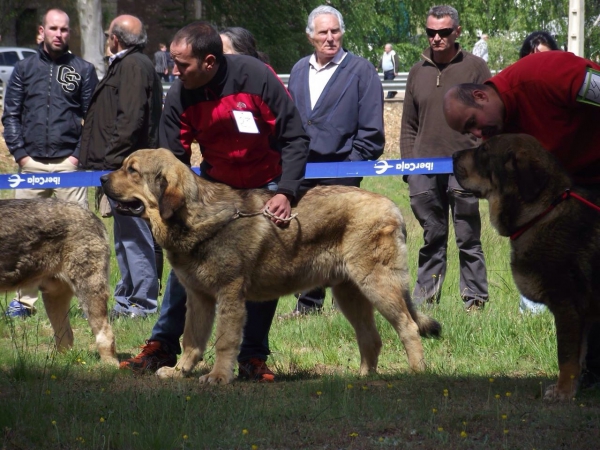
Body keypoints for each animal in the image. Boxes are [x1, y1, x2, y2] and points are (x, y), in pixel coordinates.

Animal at [0, 199, 118, 364]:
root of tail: (91, 215)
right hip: (54, 297)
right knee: (66, 336)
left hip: (88, 290)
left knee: (106, 335)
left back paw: (110, 366)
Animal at [101, 149, 440, 384]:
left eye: (131, 170)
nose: (102, 178)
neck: (195, 216)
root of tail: (392, 207)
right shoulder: (199, 298)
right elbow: (191, 340)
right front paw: (180, 371)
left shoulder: (230, 296)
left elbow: (225, 341)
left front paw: (218, 377)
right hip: (349, 294)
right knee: (371, 337)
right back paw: (363, 377)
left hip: (377, 284)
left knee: (408, 327)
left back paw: (417, 372)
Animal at [454, 134, 600, 400]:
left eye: (484, 151)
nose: (453, 155)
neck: (541, 213)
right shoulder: (581, 317)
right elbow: (578, 358)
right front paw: (570, 389)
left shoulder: (568, 307)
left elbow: (566, 357)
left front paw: (562, 392)